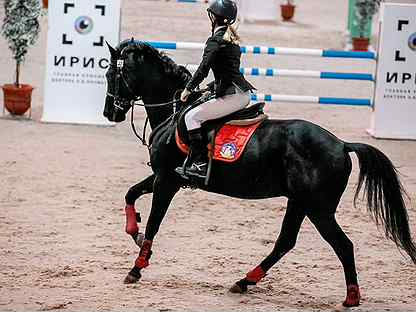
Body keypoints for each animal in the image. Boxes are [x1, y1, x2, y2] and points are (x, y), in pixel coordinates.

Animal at [103, 40, 416, 308]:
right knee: (285, 242)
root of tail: (342, 144)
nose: (110, 113)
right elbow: (131, 194)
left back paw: (351, 298)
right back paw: (245, 281)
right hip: (300, 203)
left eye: (111, 74)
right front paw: (134, 232)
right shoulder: (166, 177)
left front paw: (137, 267)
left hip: (318, 209)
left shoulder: (167, 180)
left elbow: (154, 223)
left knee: (343, 245)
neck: (173, 113)